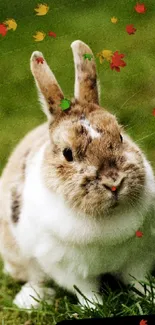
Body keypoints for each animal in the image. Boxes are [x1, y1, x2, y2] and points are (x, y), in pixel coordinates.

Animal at [0, 39, 155, 308]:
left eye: (121, 136)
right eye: (67, 153)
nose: (114, 182)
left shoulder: (139, 255)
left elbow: (139, 280)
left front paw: (151, 296)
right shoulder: (68, 268)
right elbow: (86, 290)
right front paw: (96, 307)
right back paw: (31, 299)